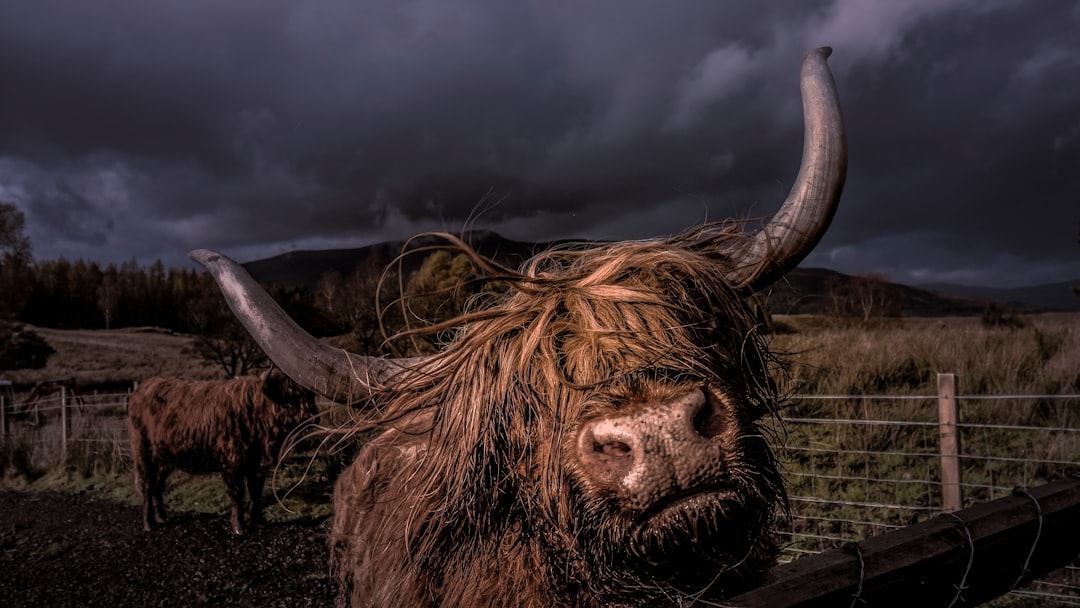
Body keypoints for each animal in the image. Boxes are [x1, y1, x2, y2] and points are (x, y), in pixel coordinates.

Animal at [127, 369, 315, 535]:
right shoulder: (231, 463)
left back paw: (162, 517)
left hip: (165, 459)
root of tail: (145, 386)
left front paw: (258, 522)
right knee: (147, 485)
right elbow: (238, 493)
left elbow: (256, 492)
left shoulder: (258, 464)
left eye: (309, 395)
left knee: (157, 485)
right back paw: (149, 523)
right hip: (144, 452)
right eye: (291, 396)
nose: (313, 416)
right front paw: (239, 527)